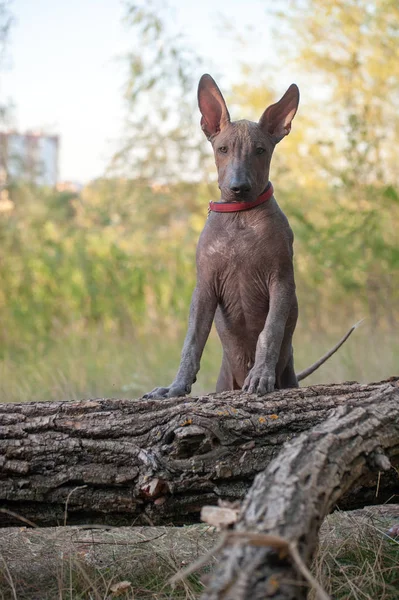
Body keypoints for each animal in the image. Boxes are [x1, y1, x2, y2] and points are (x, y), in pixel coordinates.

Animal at [145, 77, 358, 400]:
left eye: (260, 150)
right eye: (222, 149)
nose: (238, 187)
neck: (240, 216)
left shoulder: (281, 282)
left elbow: (269, 333)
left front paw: (260, 376)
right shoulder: (204, 287)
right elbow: (191, 342)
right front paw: (175, 387)